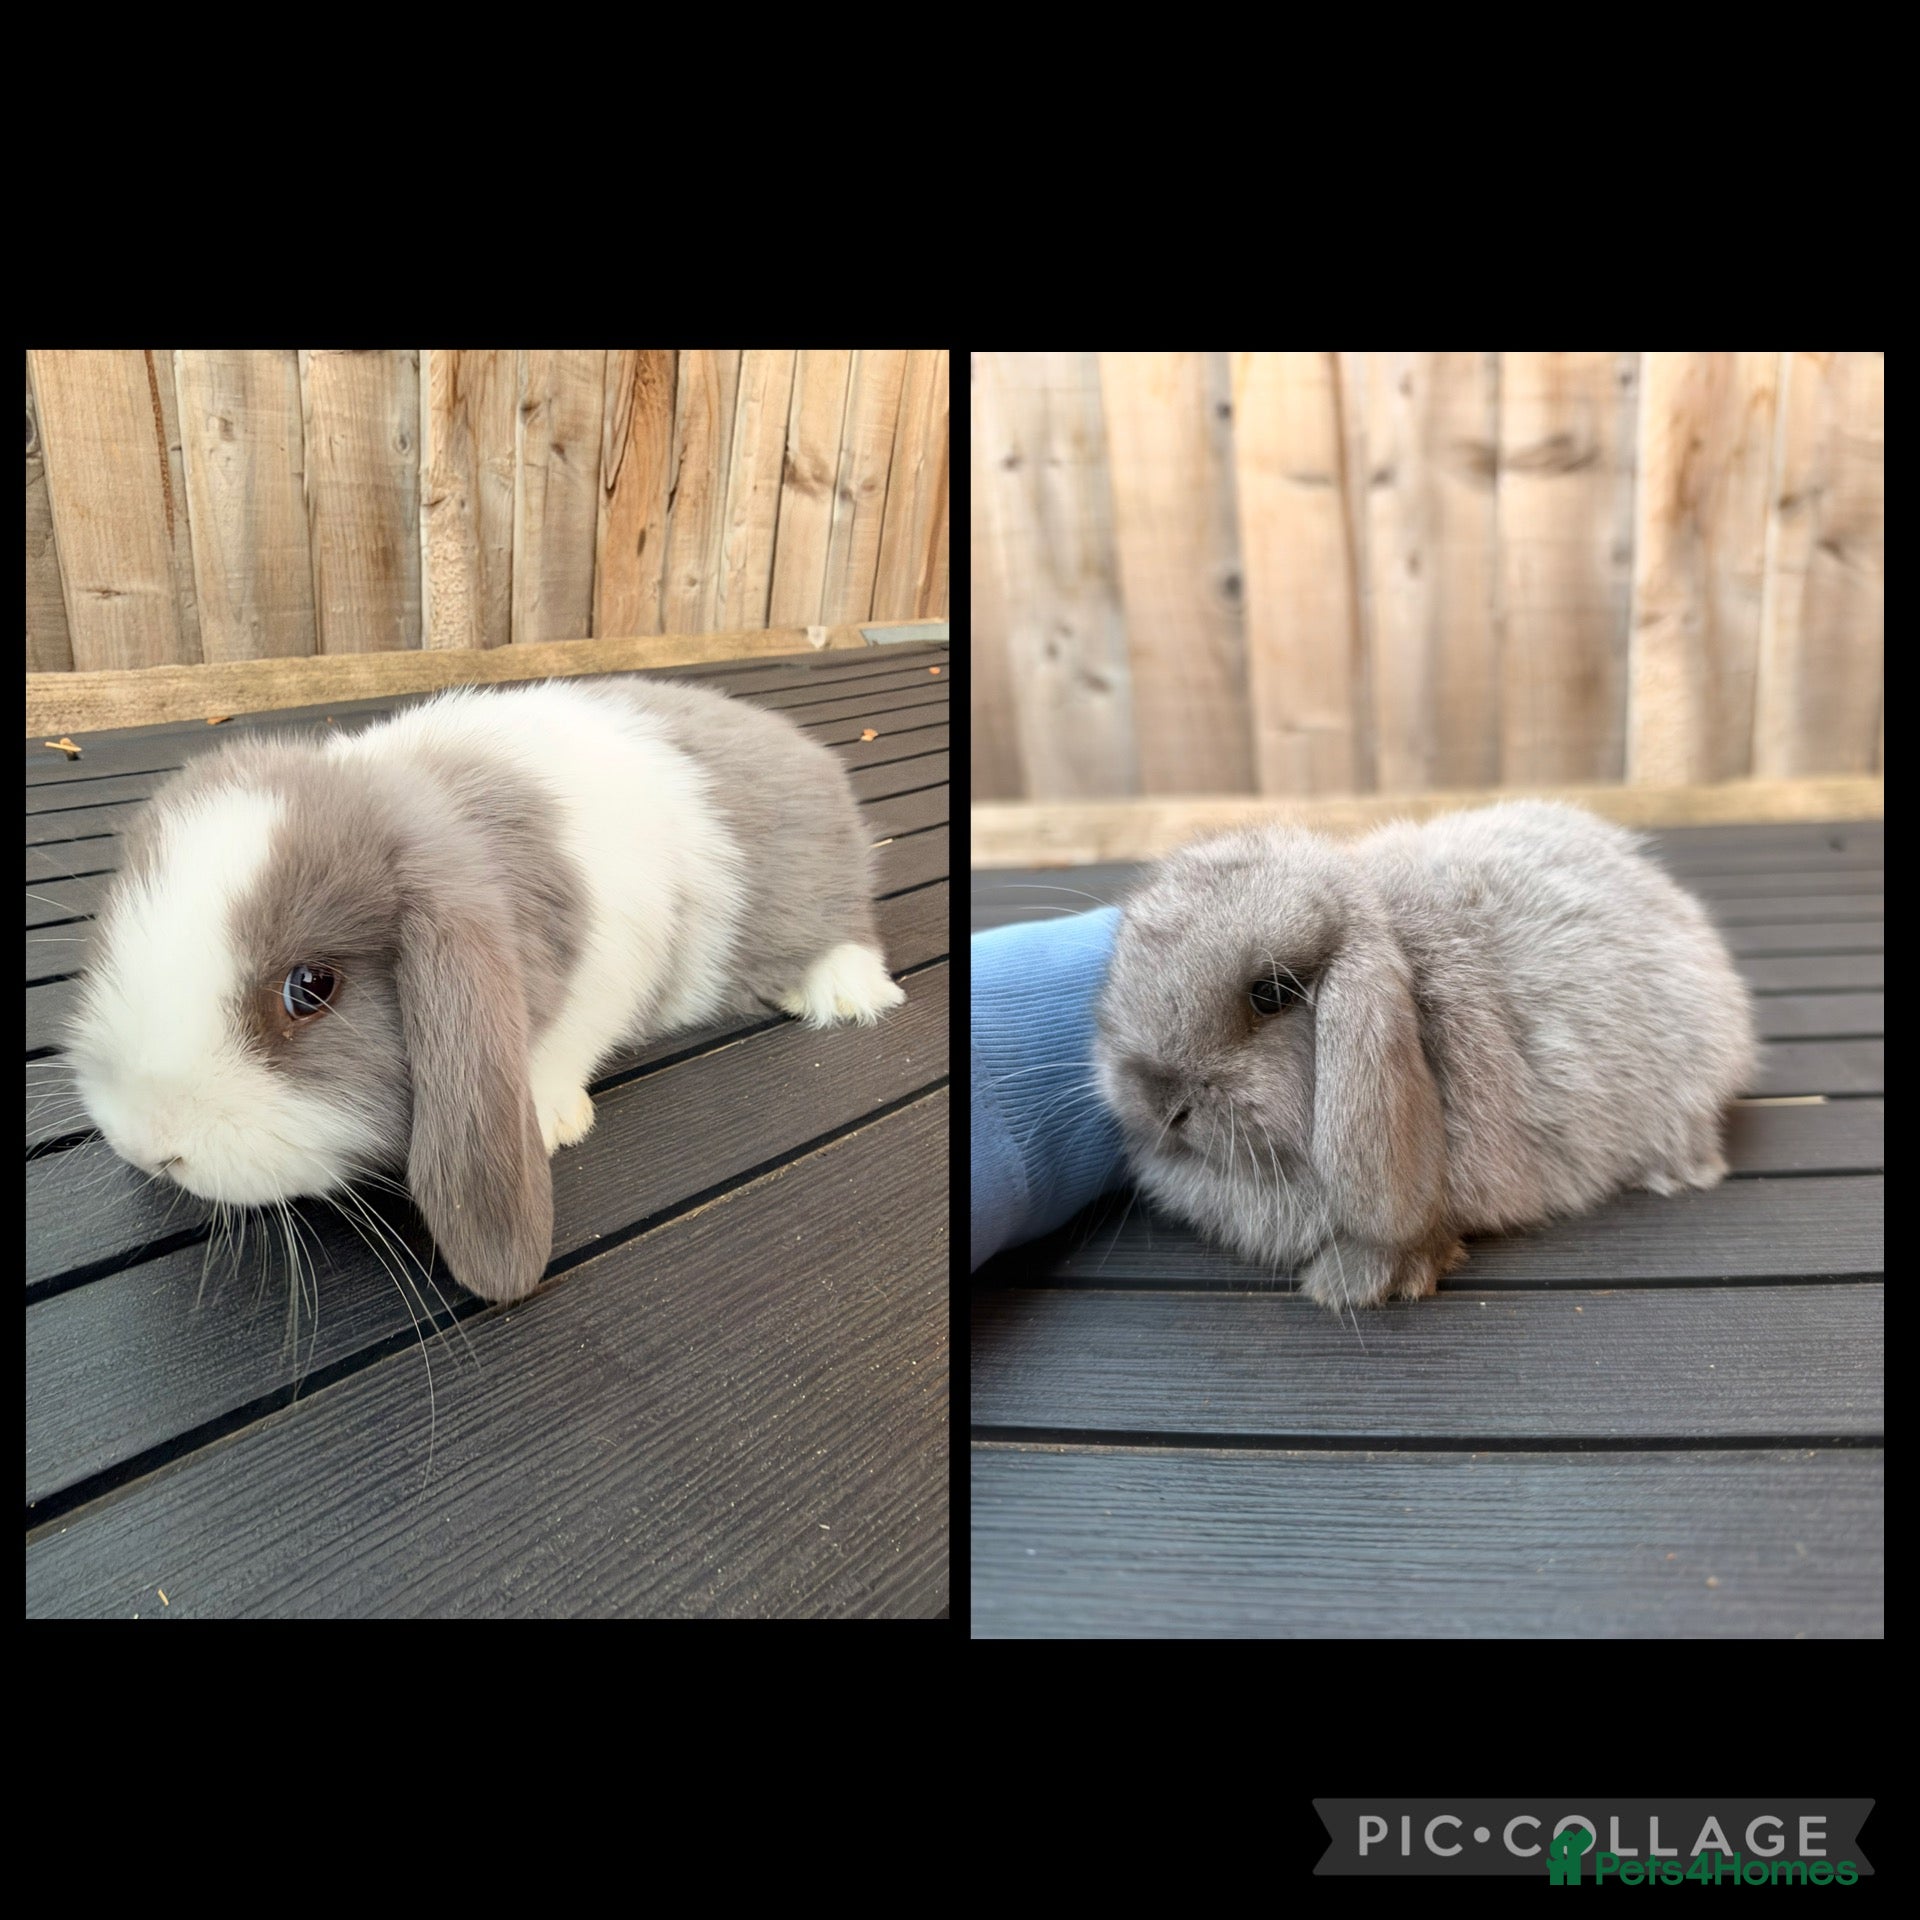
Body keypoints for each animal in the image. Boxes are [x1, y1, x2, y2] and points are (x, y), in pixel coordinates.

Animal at [67, 675, 905, 1304]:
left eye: (312, 988)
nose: (145, 1143)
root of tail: (800, 745)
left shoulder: (612, 968)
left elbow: (568, 1041)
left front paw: (549, 1120)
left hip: (825, 892)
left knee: (849, 927)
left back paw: (844, 994)